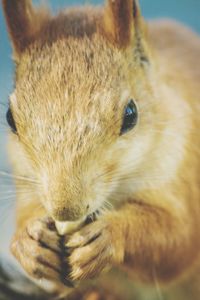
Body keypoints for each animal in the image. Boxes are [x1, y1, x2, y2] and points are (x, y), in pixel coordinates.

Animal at [1, 0, 200, 298]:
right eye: (10, 118)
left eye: (131, 114)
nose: (65, 210)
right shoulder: (26, 178)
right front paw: (30, 242)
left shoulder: (184, 164)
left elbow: (178, 237)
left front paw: (110, 234)